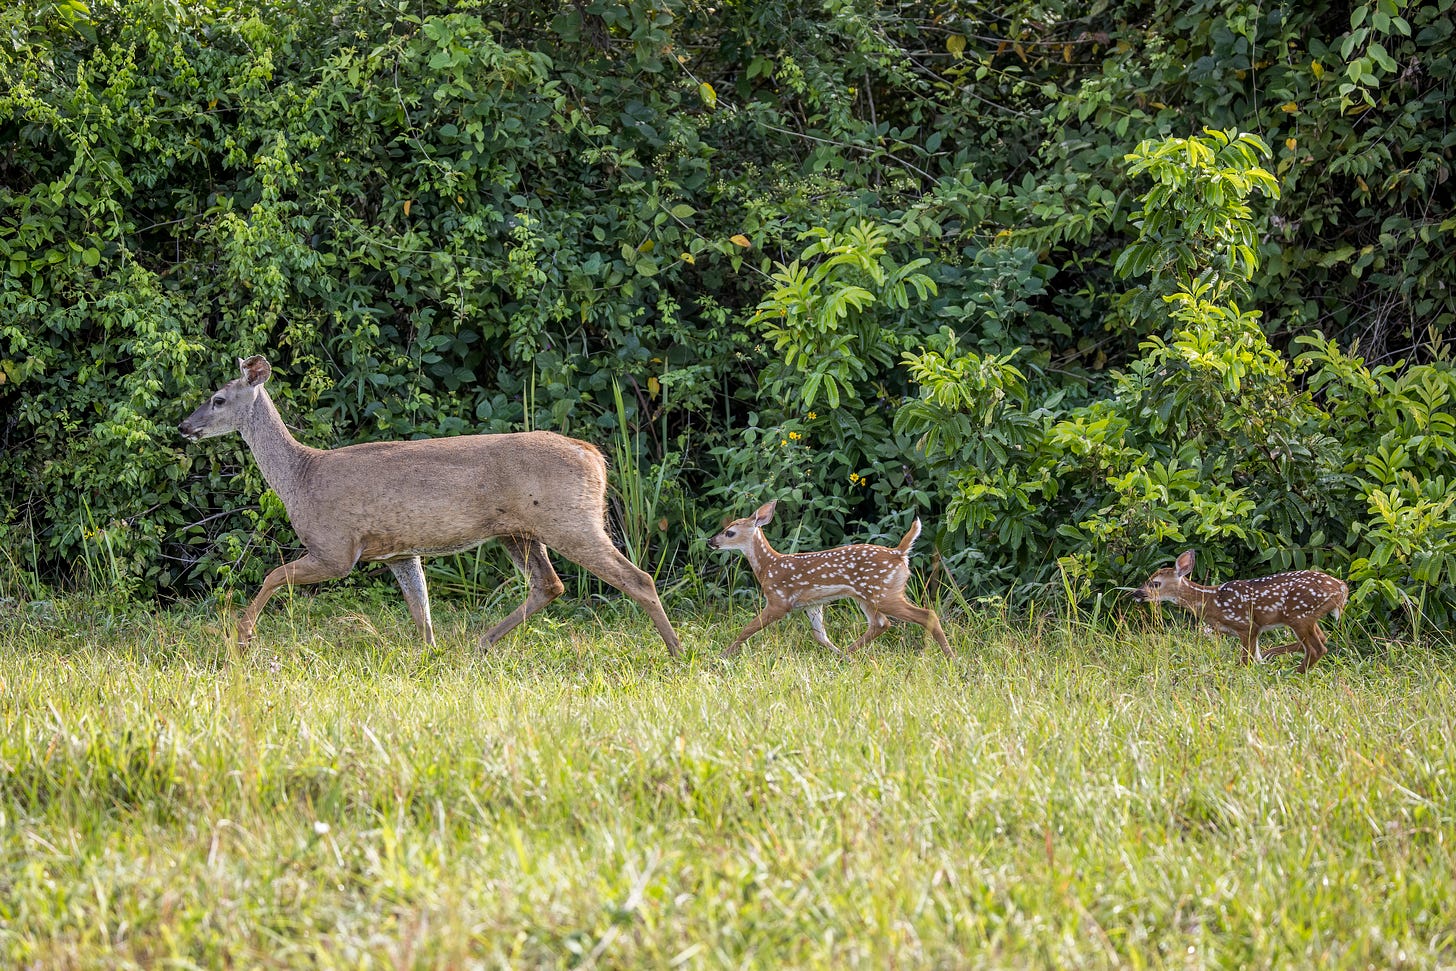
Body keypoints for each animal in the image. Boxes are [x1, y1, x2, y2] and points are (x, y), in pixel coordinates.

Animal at [177, 353, 681, 658]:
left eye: (217, 399)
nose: (184, 426)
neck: (301, 477)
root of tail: (593, 454)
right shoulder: (399, 551)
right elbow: (421, 609)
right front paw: (429, 654)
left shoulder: (336, 549)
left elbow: (272, 575)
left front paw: (242, 638)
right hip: (519, 530)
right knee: (549, 585)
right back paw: (479, 644)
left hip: (569, 520)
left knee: (637, 578)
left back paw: (677, 653)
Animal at [707, 506, 955, 658]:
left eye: (730, 532)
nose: (710, 541)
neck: (768, 567)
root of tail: (899, 553)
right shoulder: (812, 604)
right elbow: (820, 636)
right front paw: (836, 654)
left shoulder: (779, 600)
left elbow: (748, 628)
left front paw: (723, 655)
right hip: (867, 596)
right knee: (881, 623)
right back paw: (846, 655)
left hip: (883, 592)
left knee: (926, 614)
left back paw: (951, 657)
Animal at [1129, 550, 1345, 672]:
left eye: (1155, 583)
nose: (1136, 593)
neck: (1212, 602)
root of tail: (1341, 588)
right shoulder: (1253, 629)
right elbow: (1253, 658)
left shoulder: (1246, 625)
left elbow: (1245, 661)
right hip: (1308, 617)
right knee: (1321, 640)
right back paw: (1273, 656)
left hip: (1299, 615)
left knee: (1317, 648)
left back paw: (1293, 673)